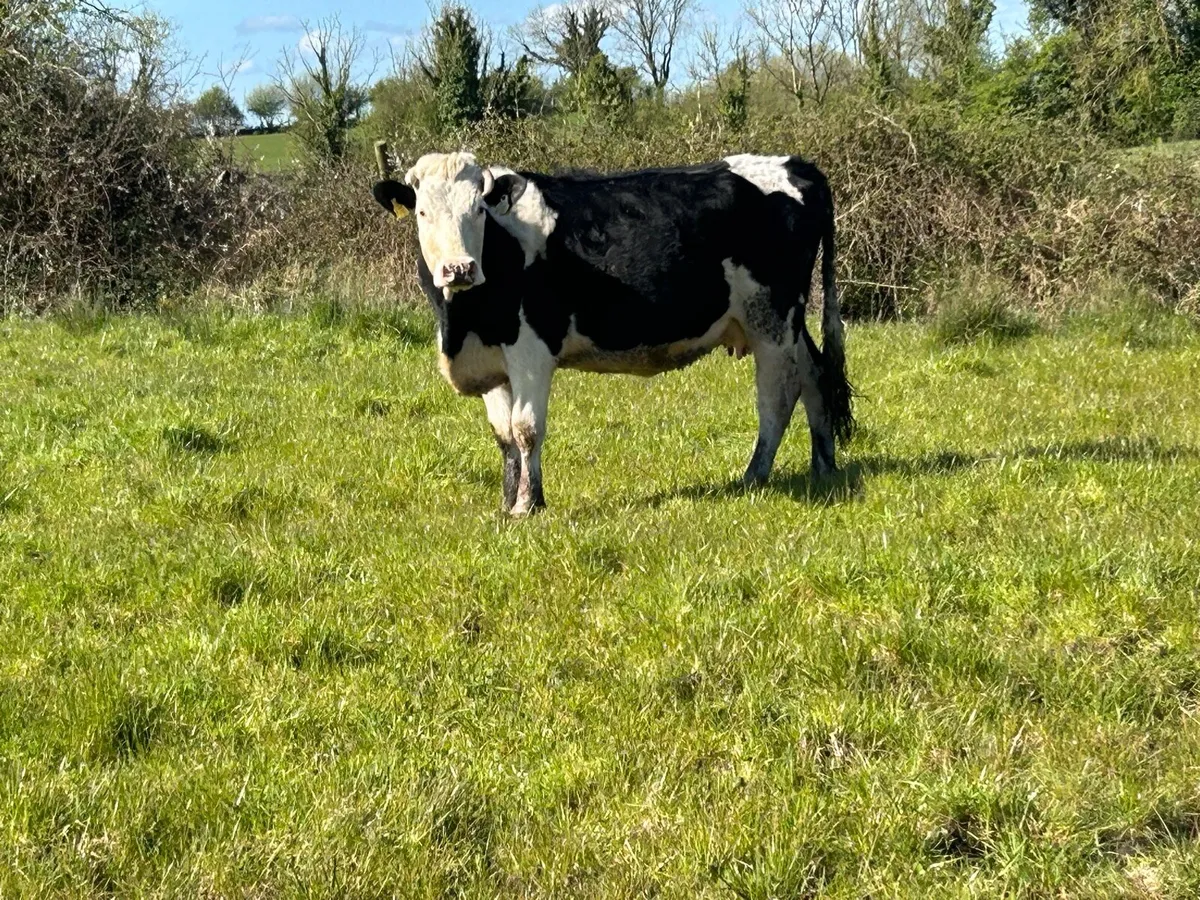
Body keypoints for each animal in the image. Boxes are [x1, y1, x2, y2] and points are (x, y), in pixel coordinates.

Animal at [372, 151, 853, 516]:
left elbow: (526, 428)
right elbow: (504, 435)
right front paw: (509, 503)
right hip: (787, 322)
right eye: (422, 212)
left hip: (770, 319)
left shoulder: (532, 350)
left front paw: (529, 505)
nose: (459, 269)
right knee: (814, 374)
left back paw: (753, 475)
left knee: (778, 394)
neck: (463, 321)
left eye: (478, 211)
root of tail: (795, 163)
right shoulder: (490, 357)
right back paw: (823, 465)